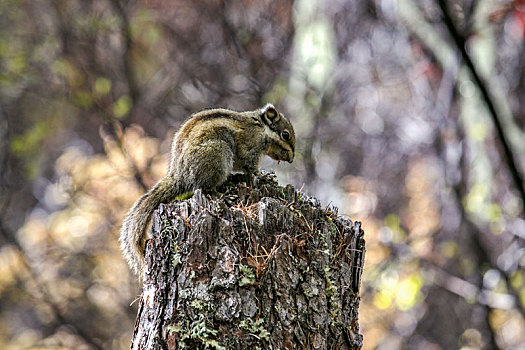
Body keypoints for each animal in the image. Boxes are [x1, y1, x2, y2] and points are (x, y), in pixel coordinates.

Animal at [118, 103, 294, 276]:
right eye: (285, 134)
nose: (292, 159)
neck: (262, 127)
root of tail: (179, 175)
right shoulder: (250, 143)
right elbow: (250, 167)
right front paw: (264, 176)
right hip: (217, 154)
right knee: (205, 188)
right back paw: (223, 196)